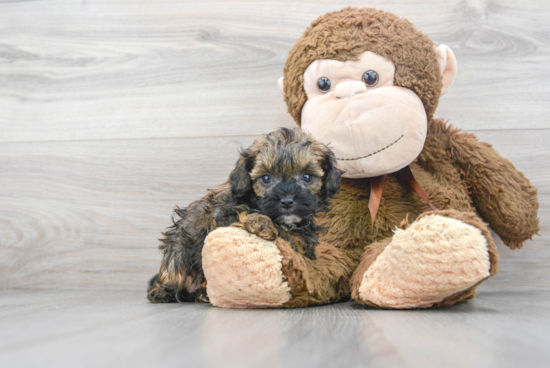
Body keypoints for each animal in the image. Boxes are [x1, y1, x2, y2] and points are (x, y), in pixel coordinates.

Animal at [149, 128, 342, 304]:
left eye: (307, 177)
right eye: (266, 178)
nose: (287, 201)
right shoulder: (222, 214)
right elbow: (246, 214)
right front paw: (262, 223)